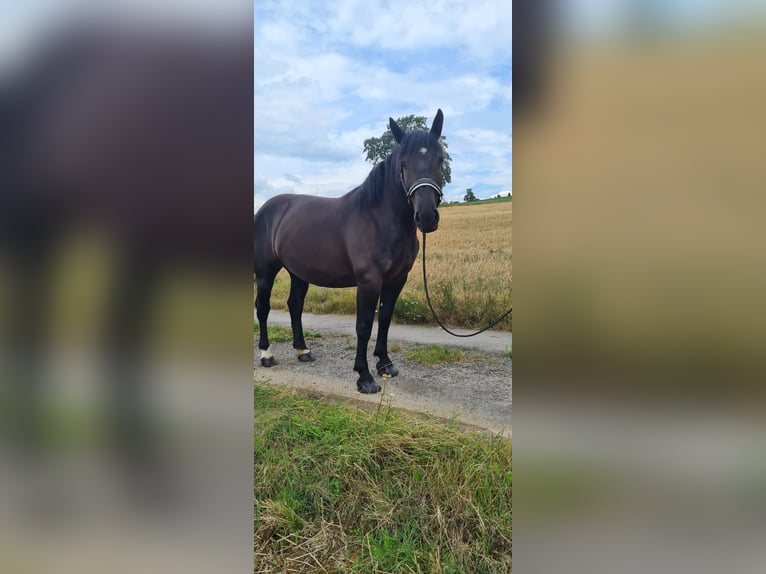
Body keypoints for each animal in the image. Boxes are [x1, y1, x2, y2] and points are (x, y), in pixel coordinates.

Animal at [255, 109, 448, 394]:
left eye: (440, 159)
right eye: (403, 163)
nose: (426, 217)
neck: (379, 219)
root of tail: (267, 207)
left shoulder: (396, 280)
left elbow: (385, 319)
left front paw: (385, 365)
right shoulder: (369, 281)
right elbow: (364, 325)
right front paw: (364, 377)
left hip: (298, 272)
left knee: (295, 305)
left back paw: (303, 351)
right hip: (265, 272)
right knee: (263, 307)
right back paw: (266, 355)